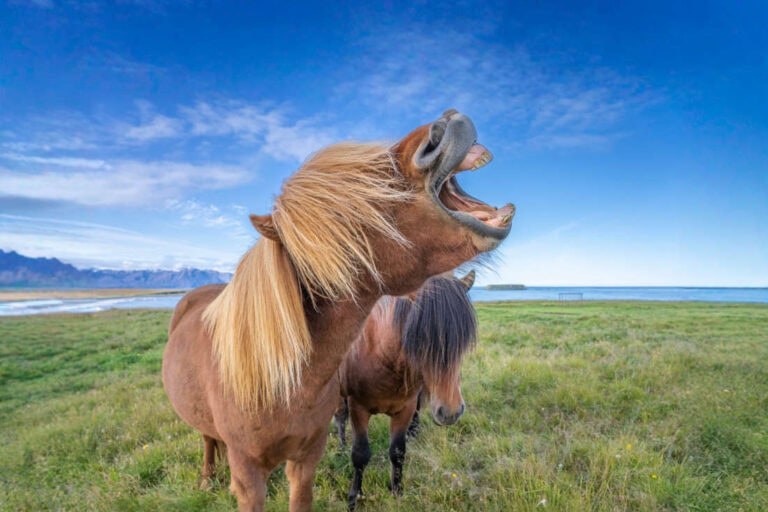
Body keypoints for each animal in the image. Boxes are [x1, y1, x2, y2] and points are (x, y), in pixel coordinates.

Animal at [334, 270, 477, 510]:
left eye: (463, 341)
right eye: (420, 337)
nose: (450, 412)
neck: (382, 355)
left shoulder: (405, 409)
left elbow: (398, 451)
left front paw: (397, 491)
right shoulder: (358, 408)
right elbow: (360, 454)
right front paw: (354, 497)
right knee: (340, 417)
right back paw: (340, 447)